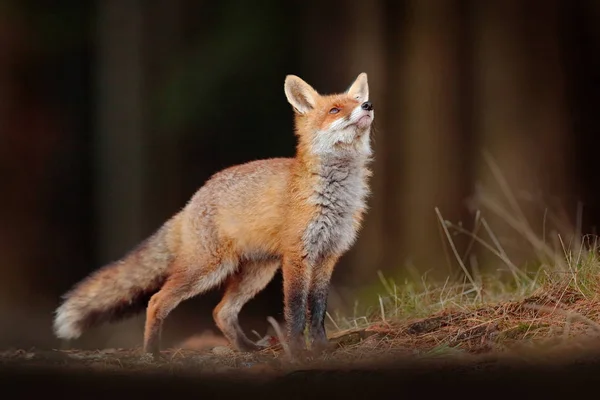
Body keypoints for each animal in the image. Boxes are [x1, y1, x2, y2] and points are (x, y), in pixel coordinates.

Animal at [55, 72, 376, 356]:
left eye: (356, 101)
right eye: (335, 110)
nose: (368, 105)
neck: (334, 196)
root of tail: (191, 202)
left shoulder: (328, 255)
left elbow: (318, 309)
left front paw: (321, 348)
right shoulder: (298, 255)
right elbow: (296, 310)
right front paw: (298, 351)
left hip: (256, 273)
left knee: (221, 311)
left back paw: (247, 349)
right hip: (208, 269)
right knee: (157, 301)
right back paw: (152, 353)